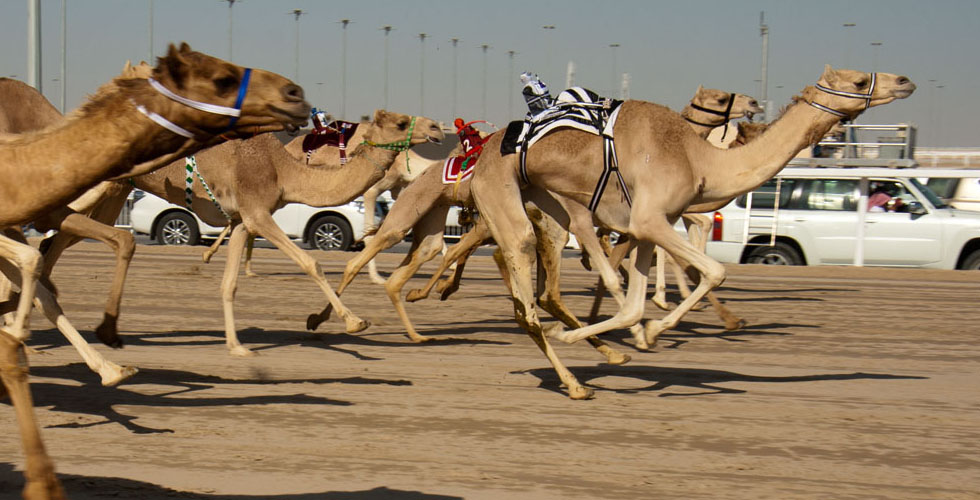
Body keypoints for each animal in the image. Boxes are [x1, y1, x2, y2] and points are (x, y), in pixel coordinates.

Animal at [470, 67, 916, 402]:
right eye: (859, 81)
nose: (905, 80)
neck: (698, 159)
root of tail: (481, 151)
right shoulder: (651, 220)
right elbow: (714, 271)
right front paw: (639, 333)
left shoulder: (646, 225)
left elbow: (634, 303)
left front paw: (643, 334)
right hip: (505, 197)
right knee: (525, 296)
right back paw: (575, 382)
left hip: (554, 203)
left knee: (540, 290)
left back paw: (594, 360)